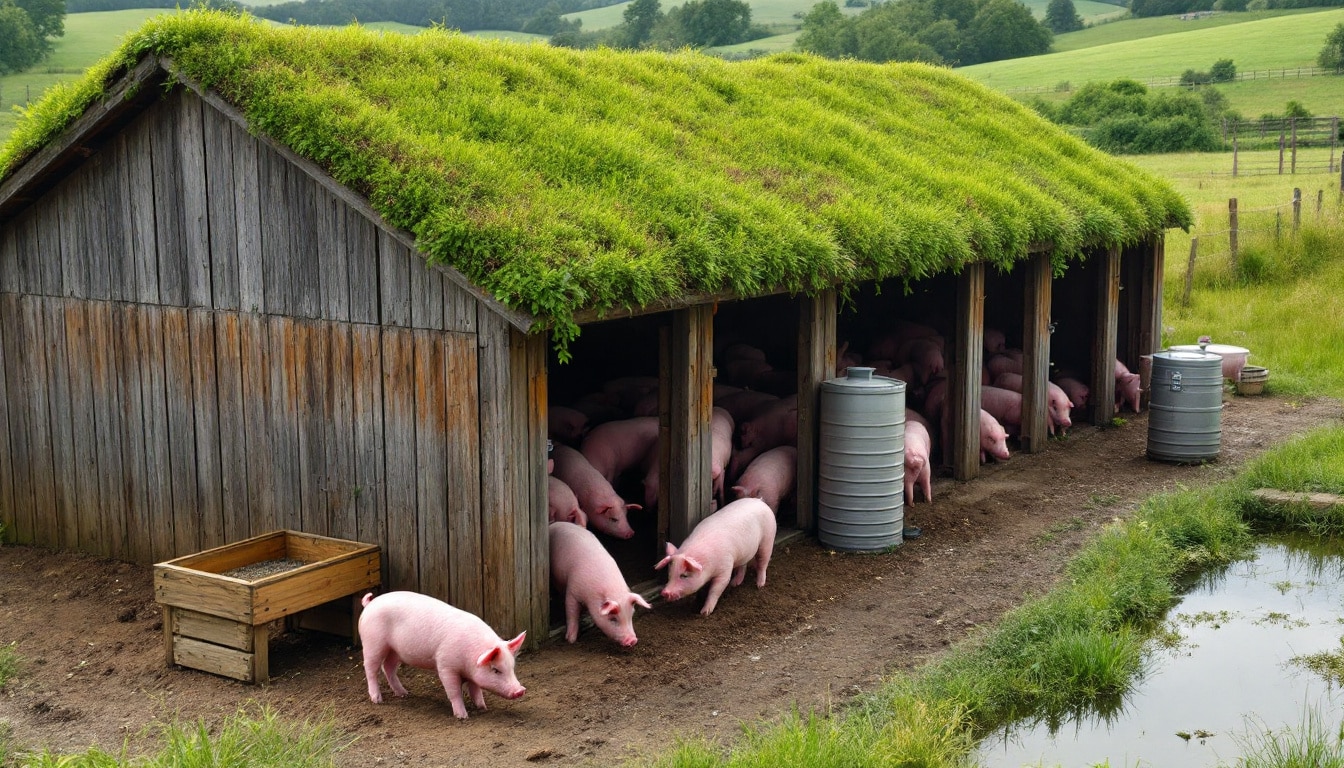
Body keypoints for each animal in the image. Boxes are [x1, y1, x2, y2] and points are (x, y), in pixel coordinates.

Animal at [360, 589, 526, 720]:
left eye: (512, 668)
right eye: (496, 670)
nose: (520, 690)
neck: (469, 659)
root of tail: (369, 604)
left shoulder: (472, 672)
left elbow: (475, 689)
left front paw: (482, 707)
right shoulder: (445, 665)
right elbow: (454, 692)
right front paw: (462, 716)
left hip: (395, 651)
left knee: (388, 668)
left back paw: (404, 694)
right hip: (373, 644)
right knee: (371, 669)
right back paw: (377, 700)